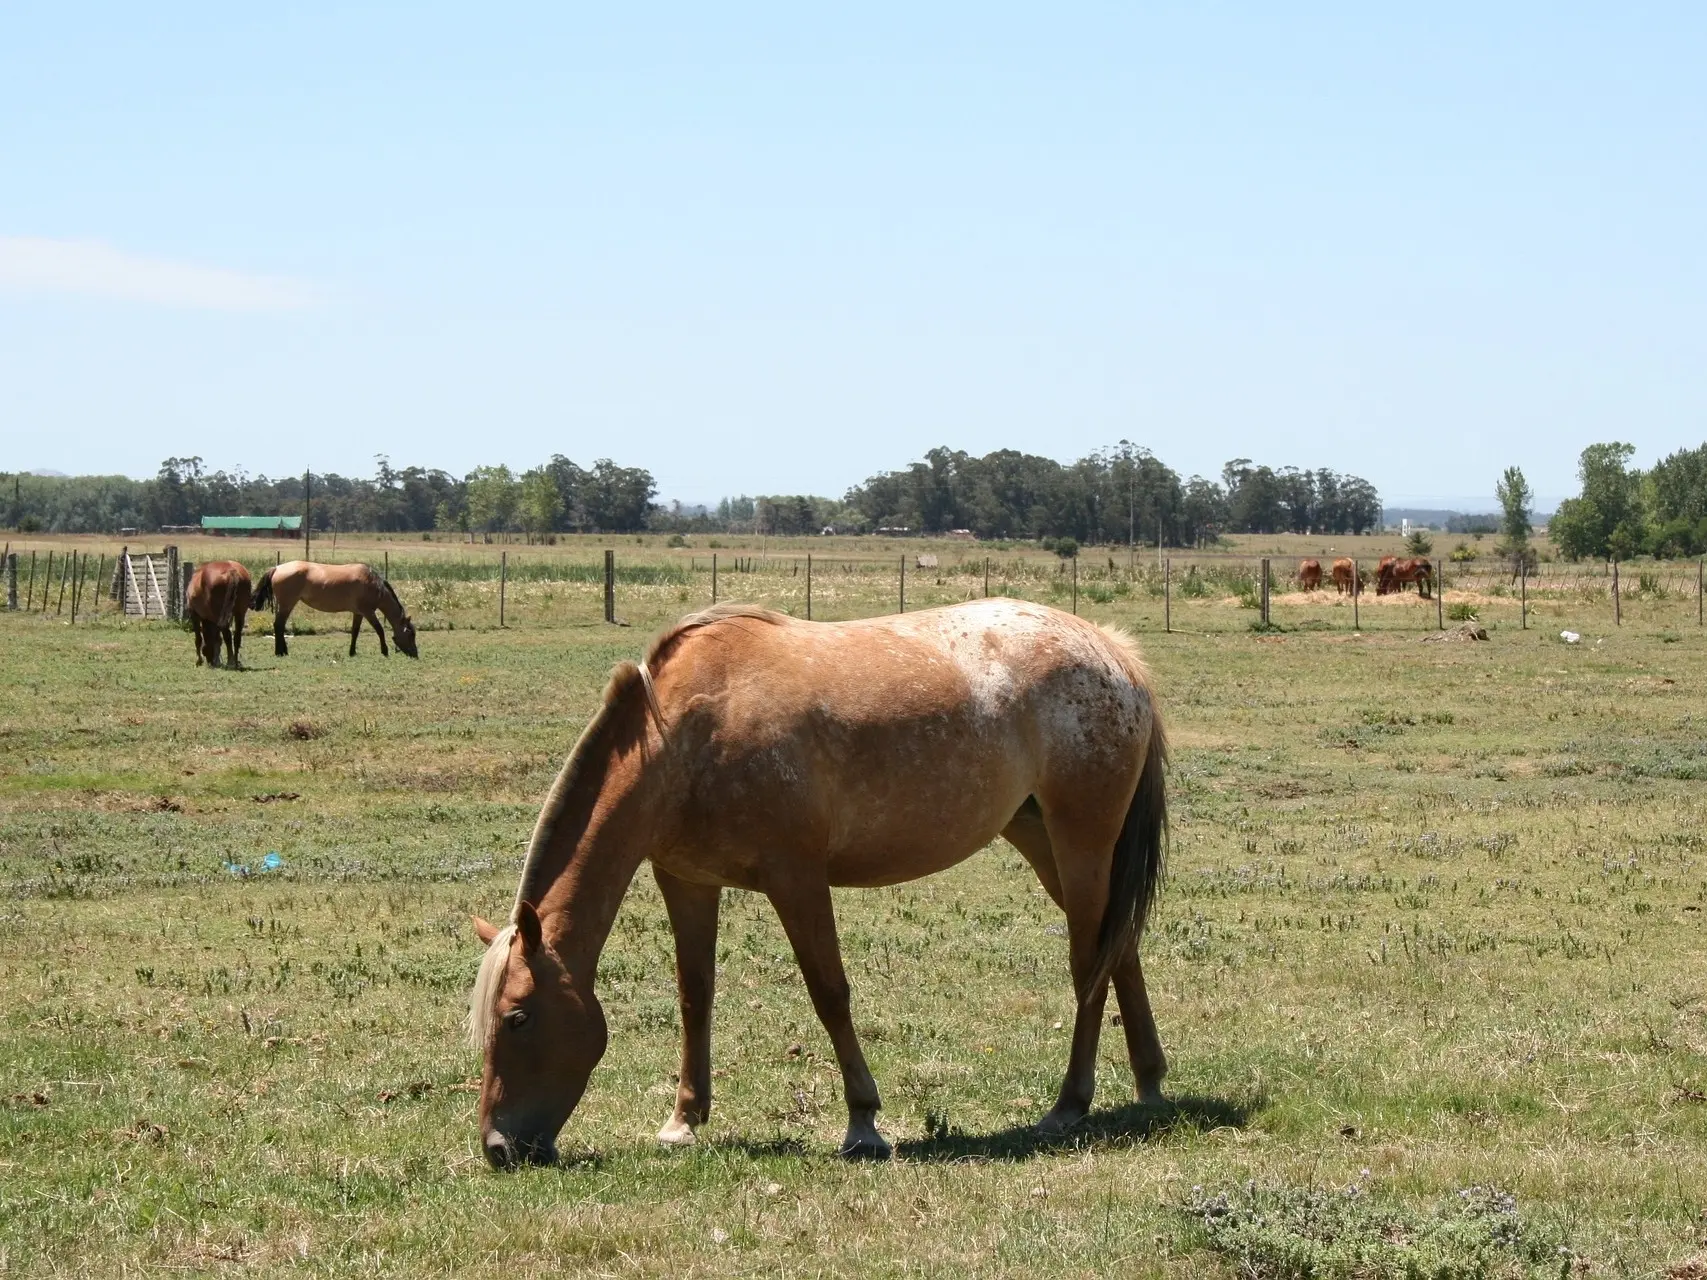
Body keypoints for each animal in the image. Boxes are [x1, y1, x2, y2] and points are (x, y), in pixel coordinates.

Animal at [249, 559, 418, 662]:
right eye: (410, 634)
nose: (415, 654)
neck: (374, 584)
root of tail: (277, 568)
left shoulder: (358, 613)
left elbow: (355, 632)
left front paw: (352, 652)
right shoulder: (368, 612)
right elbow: (380, 630)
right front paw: (384, 651)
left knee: (280, 626)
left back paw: (283, 651)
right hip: (287, 604)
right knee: (278, 625)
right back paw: (280, 652)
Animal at [471, 600, 1174, 1174]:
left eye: (517, 1018)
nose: (499, 1148)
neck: (684, 736)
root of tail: (1114, 653)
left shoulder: (797, 878)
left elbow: (829, 993)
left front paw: (863, 1124)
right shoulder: (687, 881)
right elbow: (695, 996)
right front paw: (683, 1120)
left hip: (1081, 844)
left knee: (1089, 962)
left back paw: (1070, 1103)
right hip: (1040, 839)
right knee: (1120, 947)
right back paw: (1150, 1082)